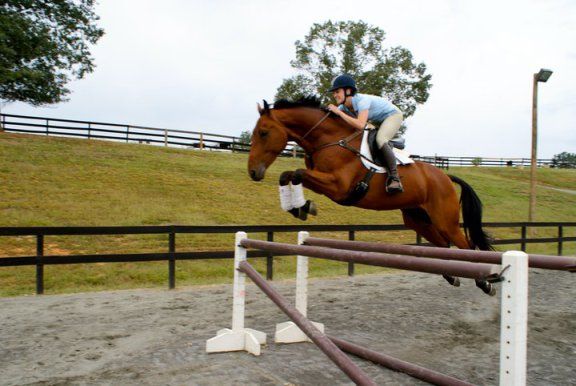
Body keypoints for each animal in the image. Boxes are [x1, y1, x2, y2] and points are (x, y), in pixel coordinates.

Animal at [248, 96, 496, 296]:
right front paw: (298, 207)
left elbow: (297, 173)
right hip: (418, 219)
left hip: (445, 220)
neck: (329, 139)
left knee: (466, 247)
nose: (253, 172)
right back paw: (453, 276)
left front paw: (303, 206)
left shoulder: (338, 186)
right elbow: (288, 175)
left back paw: (485, 284)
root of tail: (445, 176)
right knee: (444, 245)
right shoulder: (324, 184)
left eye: (263, 133)